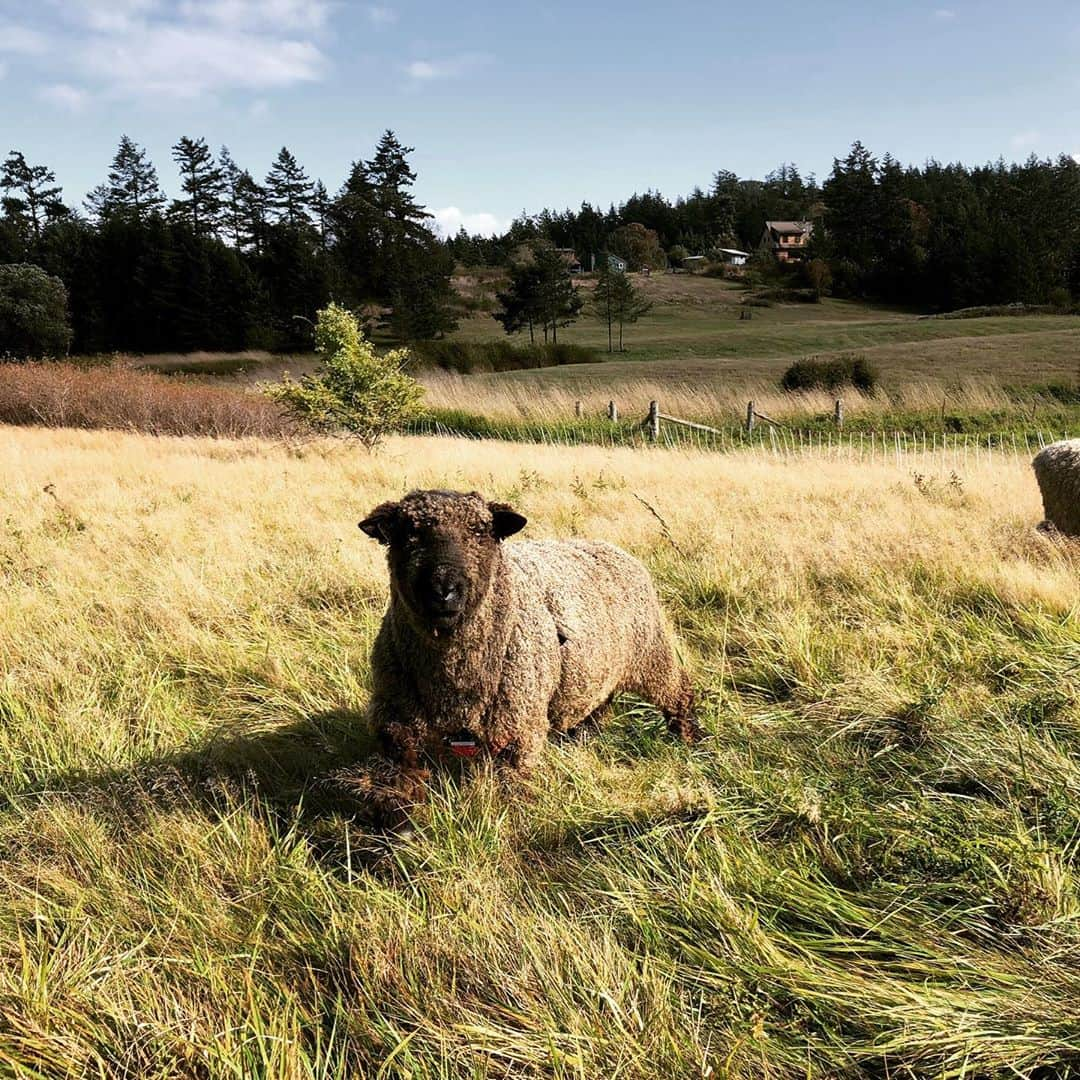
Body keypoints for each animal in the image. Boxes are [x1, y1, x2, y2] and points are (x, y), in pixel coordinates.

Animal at [358, 492, 695, 816]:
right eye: (409, 533)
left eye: (480, 531)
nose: (444, 590)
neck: (454, 680)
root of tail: (611, 547)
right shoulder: (396, 720)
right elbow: (400, 777)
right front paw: (396, 821)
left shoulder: (519, 727)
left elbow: (511, 788)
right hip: (595, 672)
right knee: (597, 707)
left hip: (652, 655)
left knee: (679, 692)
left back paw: (688, 738)